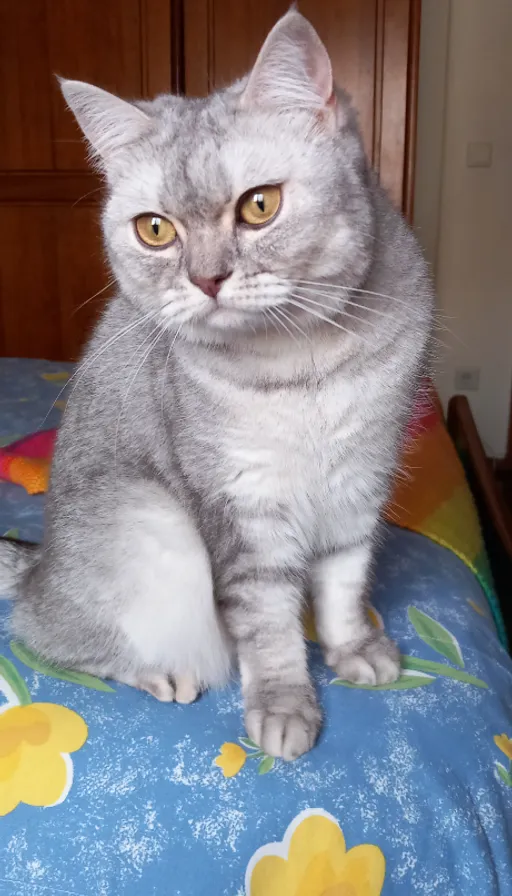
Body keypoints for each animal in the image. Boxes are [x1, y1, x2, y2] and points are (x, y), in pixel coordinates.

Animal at [0, 10, 432, 760]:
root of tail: (40, 563)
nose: (207, 278)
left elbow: (344, 583)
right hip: (152, 534)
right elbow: (269, 623)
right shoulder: (244, 509)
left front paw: (353, 650)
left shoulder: (360, 482)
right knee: (46, 634)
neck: (304, 363)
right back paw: (159, 672)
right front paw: (285, 707)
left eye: (260, 206)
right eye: (155, 229)